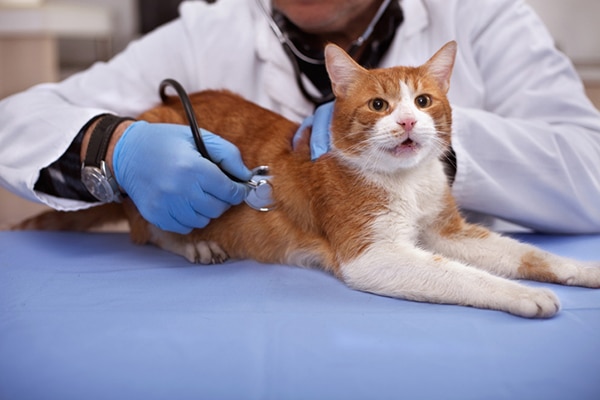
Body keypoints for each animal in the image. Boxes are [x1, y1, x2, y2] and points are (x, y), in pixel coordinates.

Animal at [15, 42, 600, 318]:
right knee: (148, 228)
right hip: (151, 156)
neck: (407, 180)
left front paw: (580, 270)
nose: (408, 123)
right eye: (380, 105)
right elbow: (464, 276)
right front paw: (523, 295)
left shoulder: (447, 231)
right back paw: (193, 243)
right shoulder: (372, 255)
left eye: (423, 101)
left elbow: (525, 253)